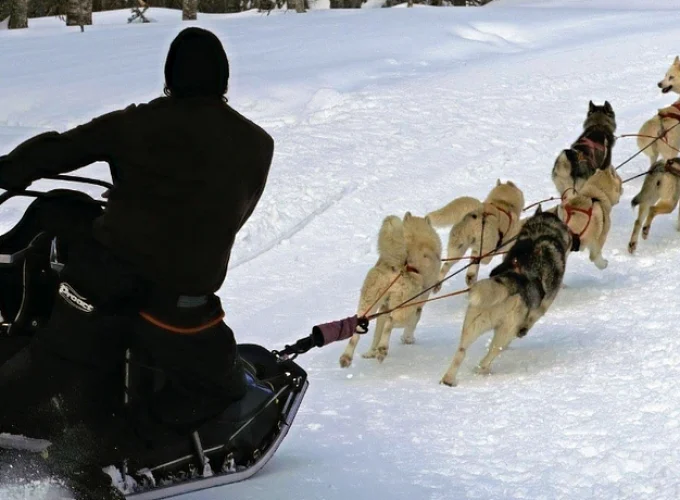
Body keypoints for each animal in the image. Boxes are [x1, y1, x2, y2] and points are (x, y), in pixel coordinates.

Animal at [338, 211, 440, 368]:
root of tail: (397, 266)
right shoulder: (417, 307)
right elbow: (412, 325)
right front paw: (407, 339)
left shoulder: (383, 308)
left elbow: (376, 334)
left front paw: (371, 353)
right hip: (405, 309)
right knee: (390, 323)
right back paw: (382, 349)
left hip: (368, 305)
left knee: (358, 332)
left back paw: (347, 357)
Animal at [438, 207, 572, 386]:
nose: (574, 240)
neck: (542, 231)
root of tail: (507, 281)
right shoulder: (544, 303)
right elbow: (533, 317)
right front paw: (524, 330)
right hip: (505, 331)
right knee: (489, 356)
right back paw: (484, 370)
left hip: (472, 326)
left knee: (461, 352)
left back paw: (448, 379)